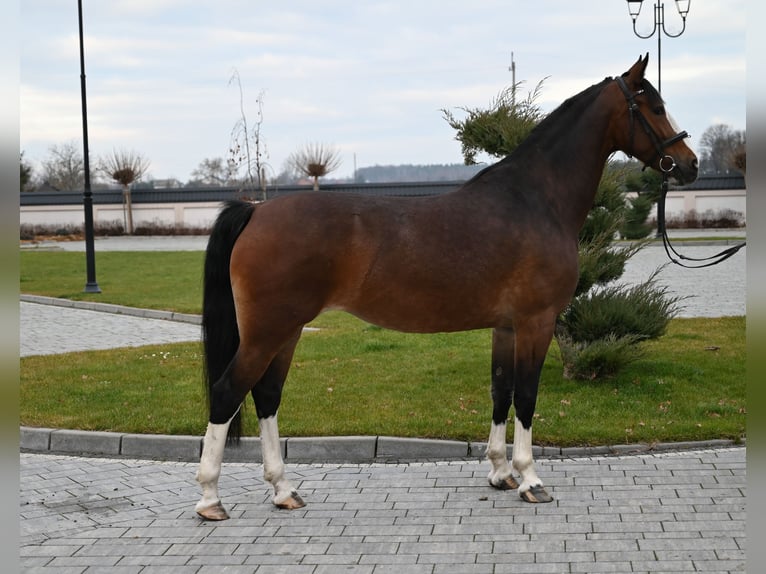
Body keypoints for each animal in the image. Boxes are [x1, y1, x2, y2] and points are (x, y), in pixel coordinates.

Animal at [195, 56, 700, 524]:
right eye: (655, 108)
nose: (690, 164)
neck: (536, 200)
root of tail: (257, 210)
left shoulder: (507, 327)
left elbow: (501, 392)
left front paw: (500, 473)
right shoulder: (536, 322)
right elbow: (527, 396)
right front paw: (530, 479)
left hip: (286, 331)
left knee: (266, 396)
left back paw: (284, 490)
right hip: (268, 331)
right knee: (227, 392)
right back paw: (210, 499)